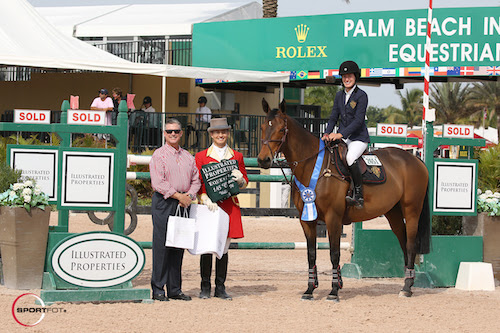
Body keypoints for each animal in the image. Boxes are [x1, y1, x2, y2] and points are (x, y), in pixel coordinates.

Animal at [258, 98, 430, 300]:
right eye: (263, 127)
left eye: (281, 129)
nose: (263, 160)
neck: (313, 166)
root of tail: (415, 159)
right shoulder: (307, 220)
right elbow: (311, 254)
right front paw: (310, 289)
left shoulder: (333, 218)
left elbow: (334, 254)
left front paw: (334, 290)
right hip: (393, 212)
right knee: (403, 242)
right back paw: (406, 283)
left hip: (411, 210)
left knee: (410, 244)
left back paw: (407, 288)